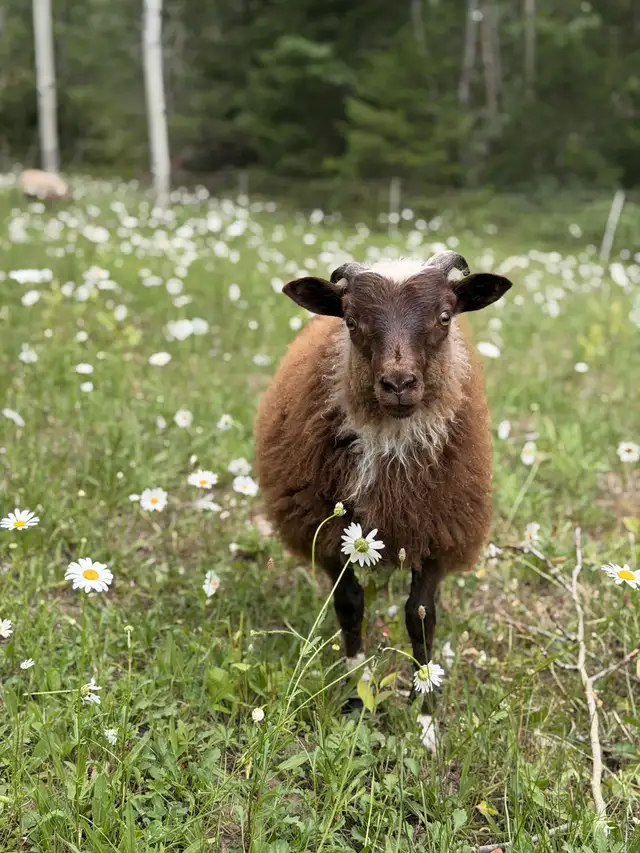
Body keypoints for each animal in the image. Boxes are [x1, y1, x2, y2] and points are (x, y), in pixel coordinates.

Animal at [255, 251, 513, 697]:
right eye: (350, 320)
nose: (398, 383)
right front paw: (357, 689)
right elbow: (349, 605)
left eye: (445, 316)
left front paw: (426, 705)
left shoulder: (438, 530)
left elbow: (420, 616)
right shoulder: (328, 533)